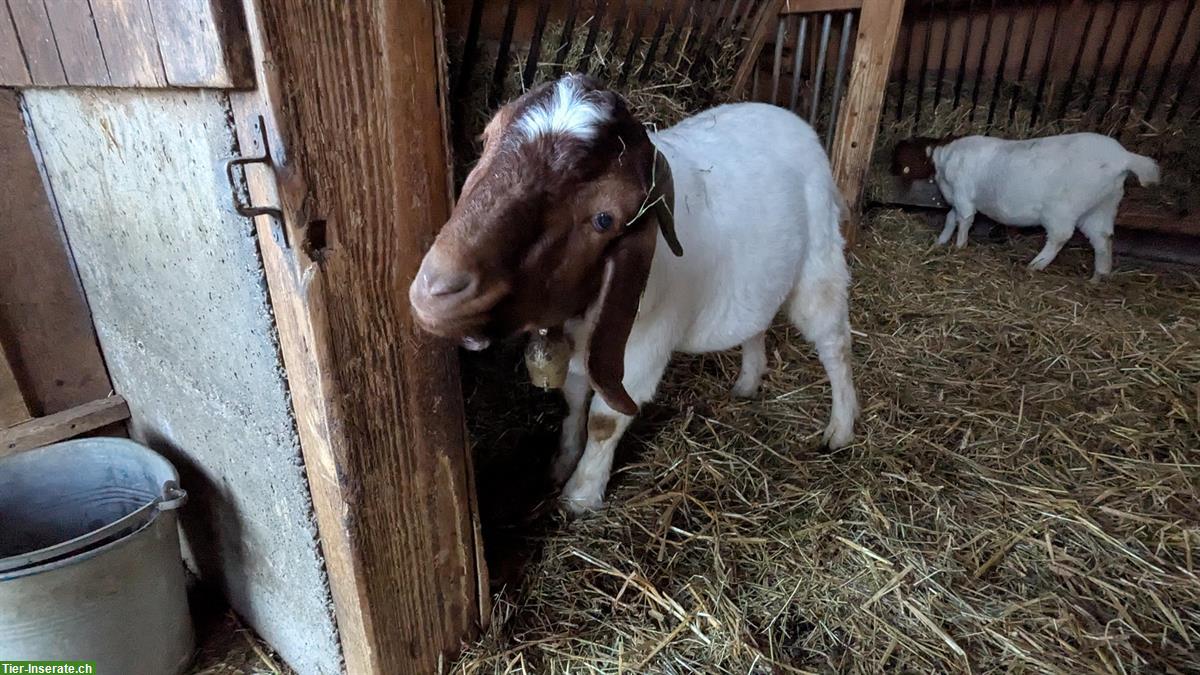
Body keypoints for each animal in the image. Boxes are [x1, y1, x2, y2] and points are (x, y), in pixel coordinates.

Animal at [408, 73, 859, 511]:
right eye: (486, 139)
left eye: (605, 219)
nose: (437, 287)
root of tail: (792, 119)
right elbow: (574, 399)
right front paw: (562, 462)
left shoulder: (639, 348)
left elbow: (605, 419)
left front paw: (581, 495)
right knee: (757, 325)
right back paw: (748, 382)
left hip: (819, 267)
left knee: (835, 342)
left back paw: (840, 428)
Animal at [897, 132, 1156, 279]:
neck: (943, 157)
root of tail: (1124, 159)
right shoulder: (957, 200)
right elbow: (951, 218)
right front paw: (940, 242)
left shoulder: (963, 195)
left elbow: (964, 221)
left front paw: (959, 248)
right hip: (1102, 206)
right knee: (1103, 238)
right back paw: (1099, 276)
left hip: (1062, 209)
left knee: (1060, 236)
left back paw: (1035, 266)